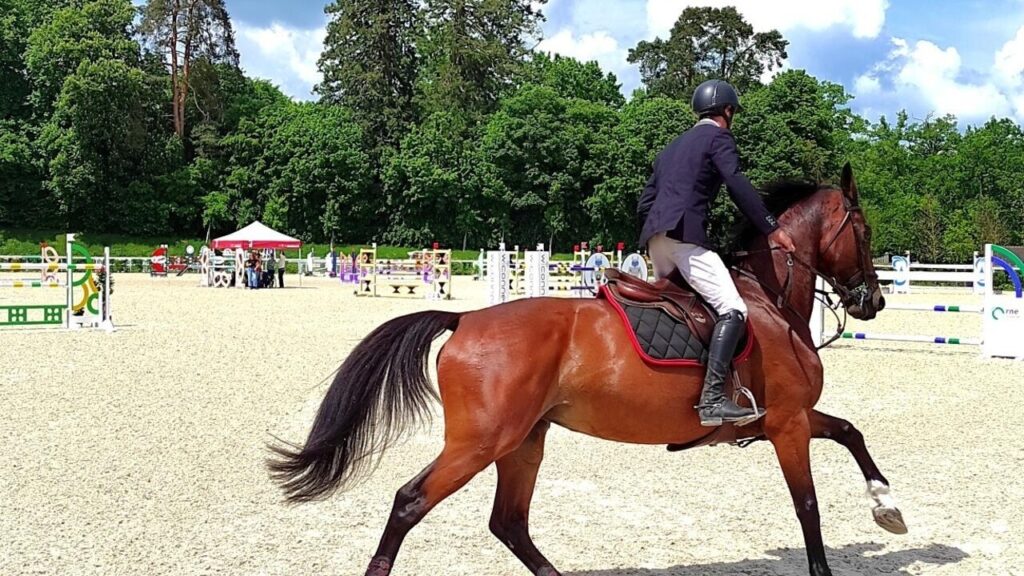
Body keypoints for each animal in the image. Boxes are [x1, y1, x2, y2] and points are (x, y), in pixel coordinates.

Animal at [270, 162, 905, 573]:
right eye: (865, 230)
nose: (872, 301)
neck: (767, 298)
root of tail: (464, 319)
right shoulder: (787, 424)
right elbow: (808, 507)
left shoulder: (785, 418)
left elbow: (850, 432)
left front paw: (887, 506)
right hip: (480, 443)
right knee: (411, 503)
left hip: (523, 440)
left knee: (509, 522)